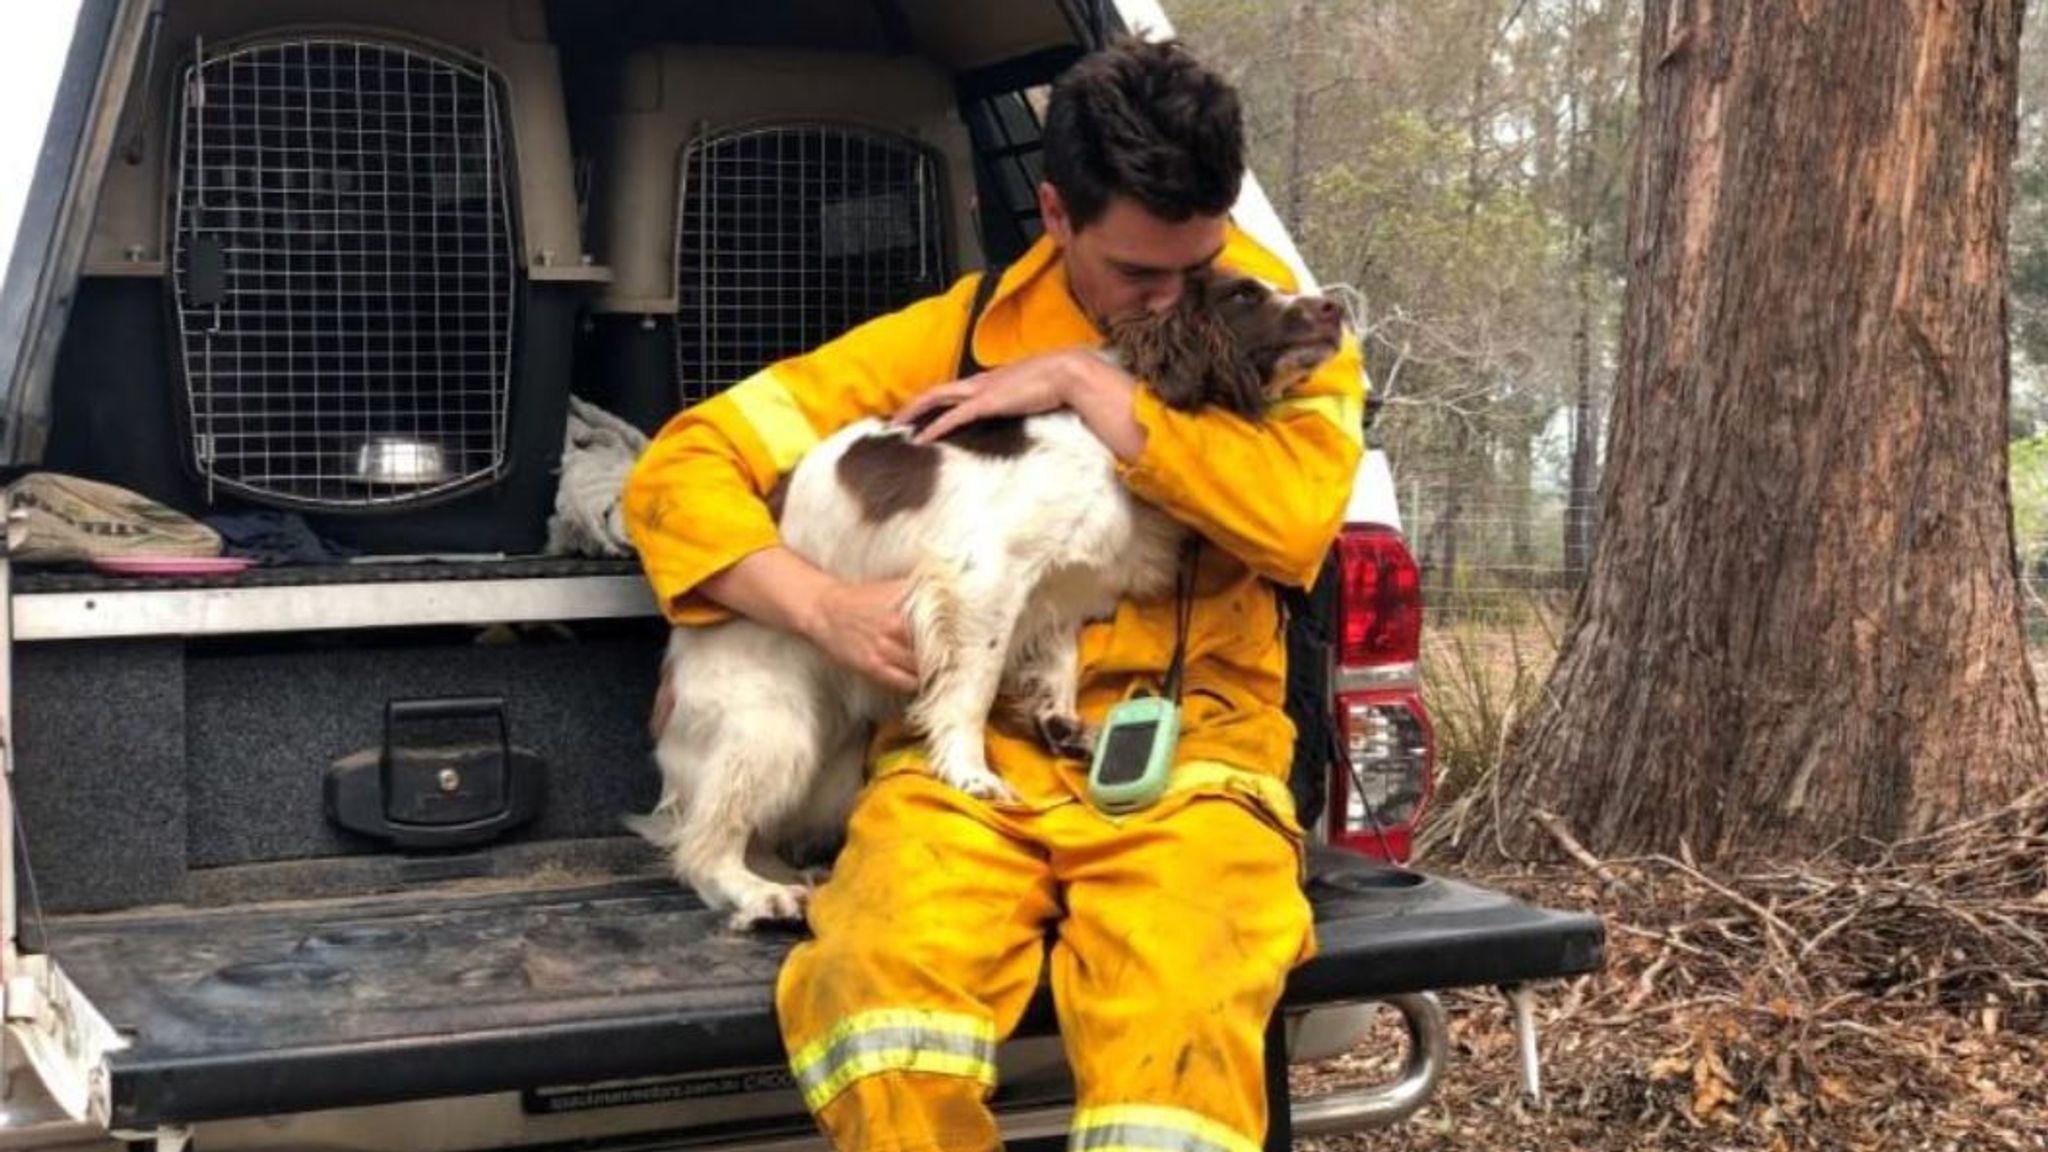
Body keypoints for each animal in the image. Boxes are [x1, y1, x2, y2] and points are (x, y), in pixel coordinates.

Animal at [630, 262, 1351, 922]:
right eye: (1245, 295)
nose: (1335, 307)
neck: (1102, 434)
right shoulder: (983, 574)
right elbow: (972, 688)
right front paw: (970, 771)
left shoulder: (1057, 590)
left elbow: (1059, 659)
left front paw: (1062, 723)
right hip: (772, 728)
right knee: (704, 848)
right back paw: (760, 893)